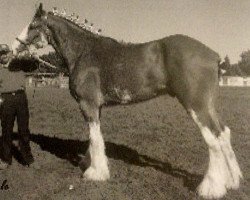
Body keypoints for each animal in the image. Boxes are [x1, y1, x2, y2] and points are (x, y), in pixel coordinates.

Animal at [12, 3, 242, 199]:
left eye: (32, 25)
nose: (13, 48)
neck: (83, 52)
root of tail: (212, 55)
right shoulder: (96, 107)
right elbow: (95, 137)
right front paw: (90, 164)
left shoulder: (87, 104)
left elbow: (95, 138)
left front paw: (95, 173)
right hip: (208, 106)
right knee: (223, 133)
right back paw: (233, 181)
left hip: (196, 106)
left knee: (213, 141)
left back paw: (210, 188)